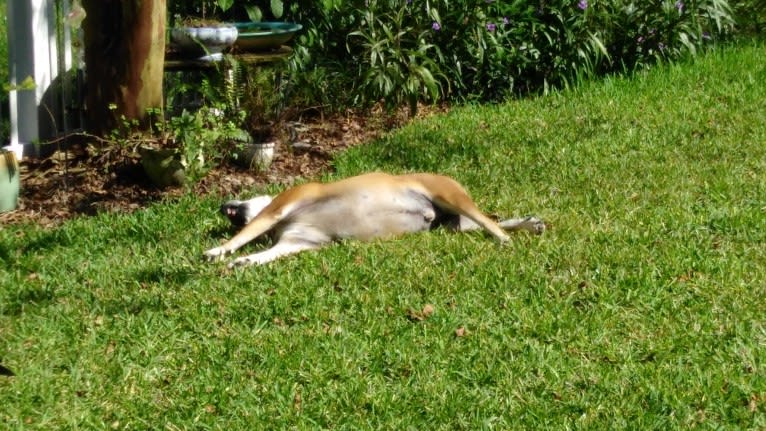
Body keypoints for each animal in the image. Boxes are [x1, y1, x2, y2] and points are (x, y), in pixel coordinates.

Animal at [201, 172, 544, 266]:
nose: (220, 207)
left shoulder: (278, 208)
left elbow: (243, 236)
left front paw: (218, 250)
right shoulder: (296, 242)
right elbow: (266, 253)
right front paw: (245, 261)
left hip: (449, 195)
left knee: (490, 223)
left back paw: (506, 238)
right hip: (454, 223)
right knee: (489, 220)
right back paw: (528, 223)